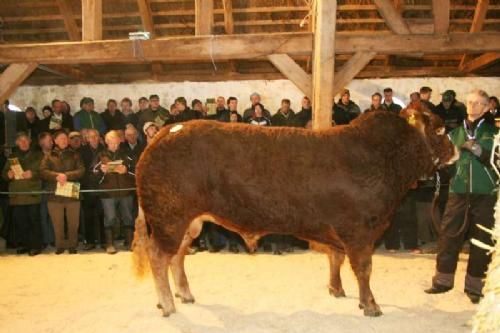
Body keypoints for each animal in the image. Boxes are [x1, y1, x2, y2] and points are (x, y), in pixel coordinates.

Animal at [133, 104, 458, 316]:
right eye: (440, 129)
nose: (456, 151)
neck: (383, 157)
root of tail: (167, 131)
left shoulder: (338, 228)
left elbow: (336, 259)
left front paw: (336, 289)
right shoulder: (360, 231)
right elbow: (363, 268)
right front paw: (370, 305)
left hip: (189, 222)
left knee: (177, 255)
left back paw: (184, 294)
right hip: (169, 218)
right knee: (159, 256)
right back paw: (168, 304)